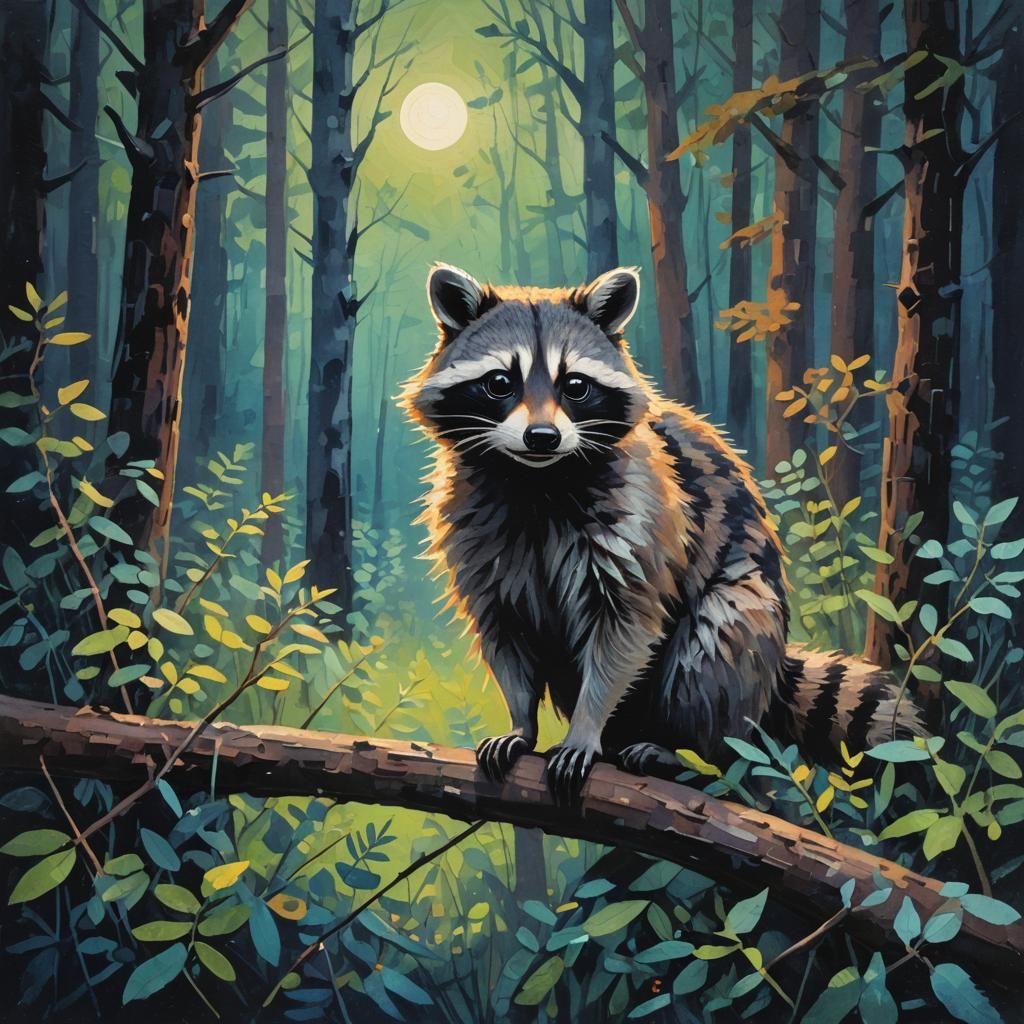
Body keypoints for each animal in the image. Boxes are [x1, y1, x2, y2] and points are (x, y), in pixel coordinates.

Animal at [402, 263, 926, 802]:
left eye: (575, 385)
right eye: (500, 383)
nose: (542, 437)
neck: (535, 479)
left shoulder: (642, 513)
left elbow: (625, 630)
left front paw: (586, 726)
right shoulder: (477, 530)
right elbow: (505, 632)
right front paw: (522, 723)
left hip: (745, 631)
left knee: (717, 643)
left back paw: (692, 755)